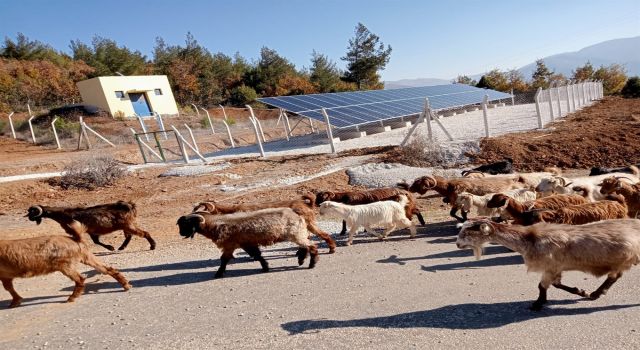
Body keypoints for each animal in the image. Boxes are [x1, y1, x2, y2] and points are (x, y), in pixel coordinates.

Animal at [0, 235, 131, 306]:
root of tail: (75, 240)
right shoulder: (5, 276)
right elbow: (8, 287)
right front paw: (15, 301)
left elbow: (8, 288)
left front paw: (15, 301)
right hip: (87, 257)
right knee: (107, 269)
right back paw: (125, 285)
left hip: (65, 265)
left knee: (80, 278)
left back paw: (72, 297)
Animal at [25, 200, 156, 252]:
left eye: (32, 212)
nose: (28, 217)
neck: (64, 214)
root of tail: (128, 205)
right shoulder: (92, 232)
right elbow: (96, 241)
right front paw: (111, 247)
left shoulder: (76, 231)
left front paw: (110, 247)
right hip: (126, 226)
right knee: (129, 236)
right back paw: (121, 247)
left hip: (128, 225)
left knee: (144, 233)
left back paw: (152, 246)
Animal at [176, 208, 318, 278]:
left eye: (186, 224)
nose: (180, 234)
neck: (215, 224)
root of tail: (297, 214)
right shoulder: (247, 244)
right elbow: (257, 256)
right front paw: (265, 267)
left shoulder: (230, 245)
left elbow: (224, 259)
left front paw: (218, 274)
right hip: (296, 234)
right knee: (305, 246)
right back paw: (301, 260)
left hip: (295, 233)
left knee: (311, 246)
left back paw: (312, 264)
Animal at [456, 217, 640, 310]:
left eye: (467, 232)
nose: (457, 244)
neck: (528, 240)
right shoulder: (555, 268)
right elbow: (557, 284)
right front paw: (580, 291)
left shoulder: (550, 266)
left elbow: (542, 286)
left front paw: (537, 304)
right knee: (615, 276)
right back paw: (596, 293)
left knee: (615, 275)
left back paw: (597, 293)